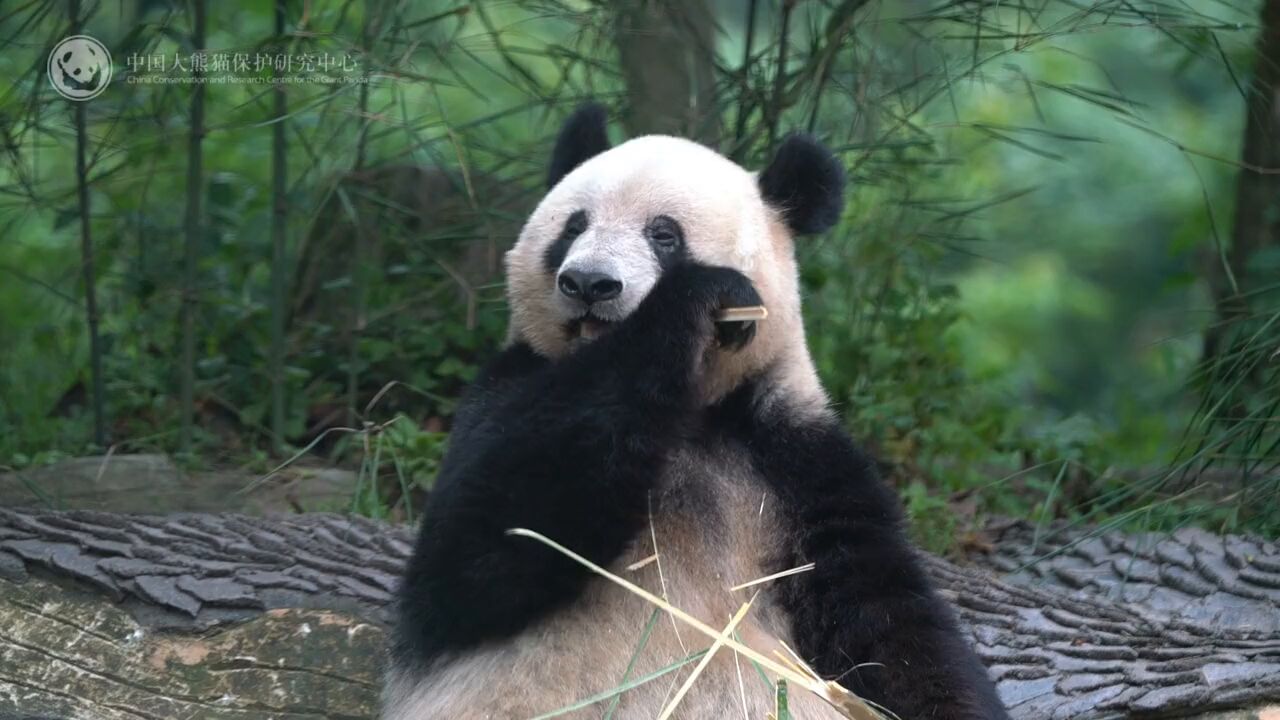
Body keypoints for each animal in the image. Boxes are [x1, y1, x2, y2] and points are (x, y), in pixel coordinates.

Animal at [384, 106, 1003, 717]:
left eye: (663, 234)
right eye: (573, 227)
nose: (588, 283)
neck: (694, 414)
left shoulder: (792, 453)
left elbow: (885, 616)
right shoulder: (509, 387)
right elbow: (481, 549)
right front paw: (698, 297)